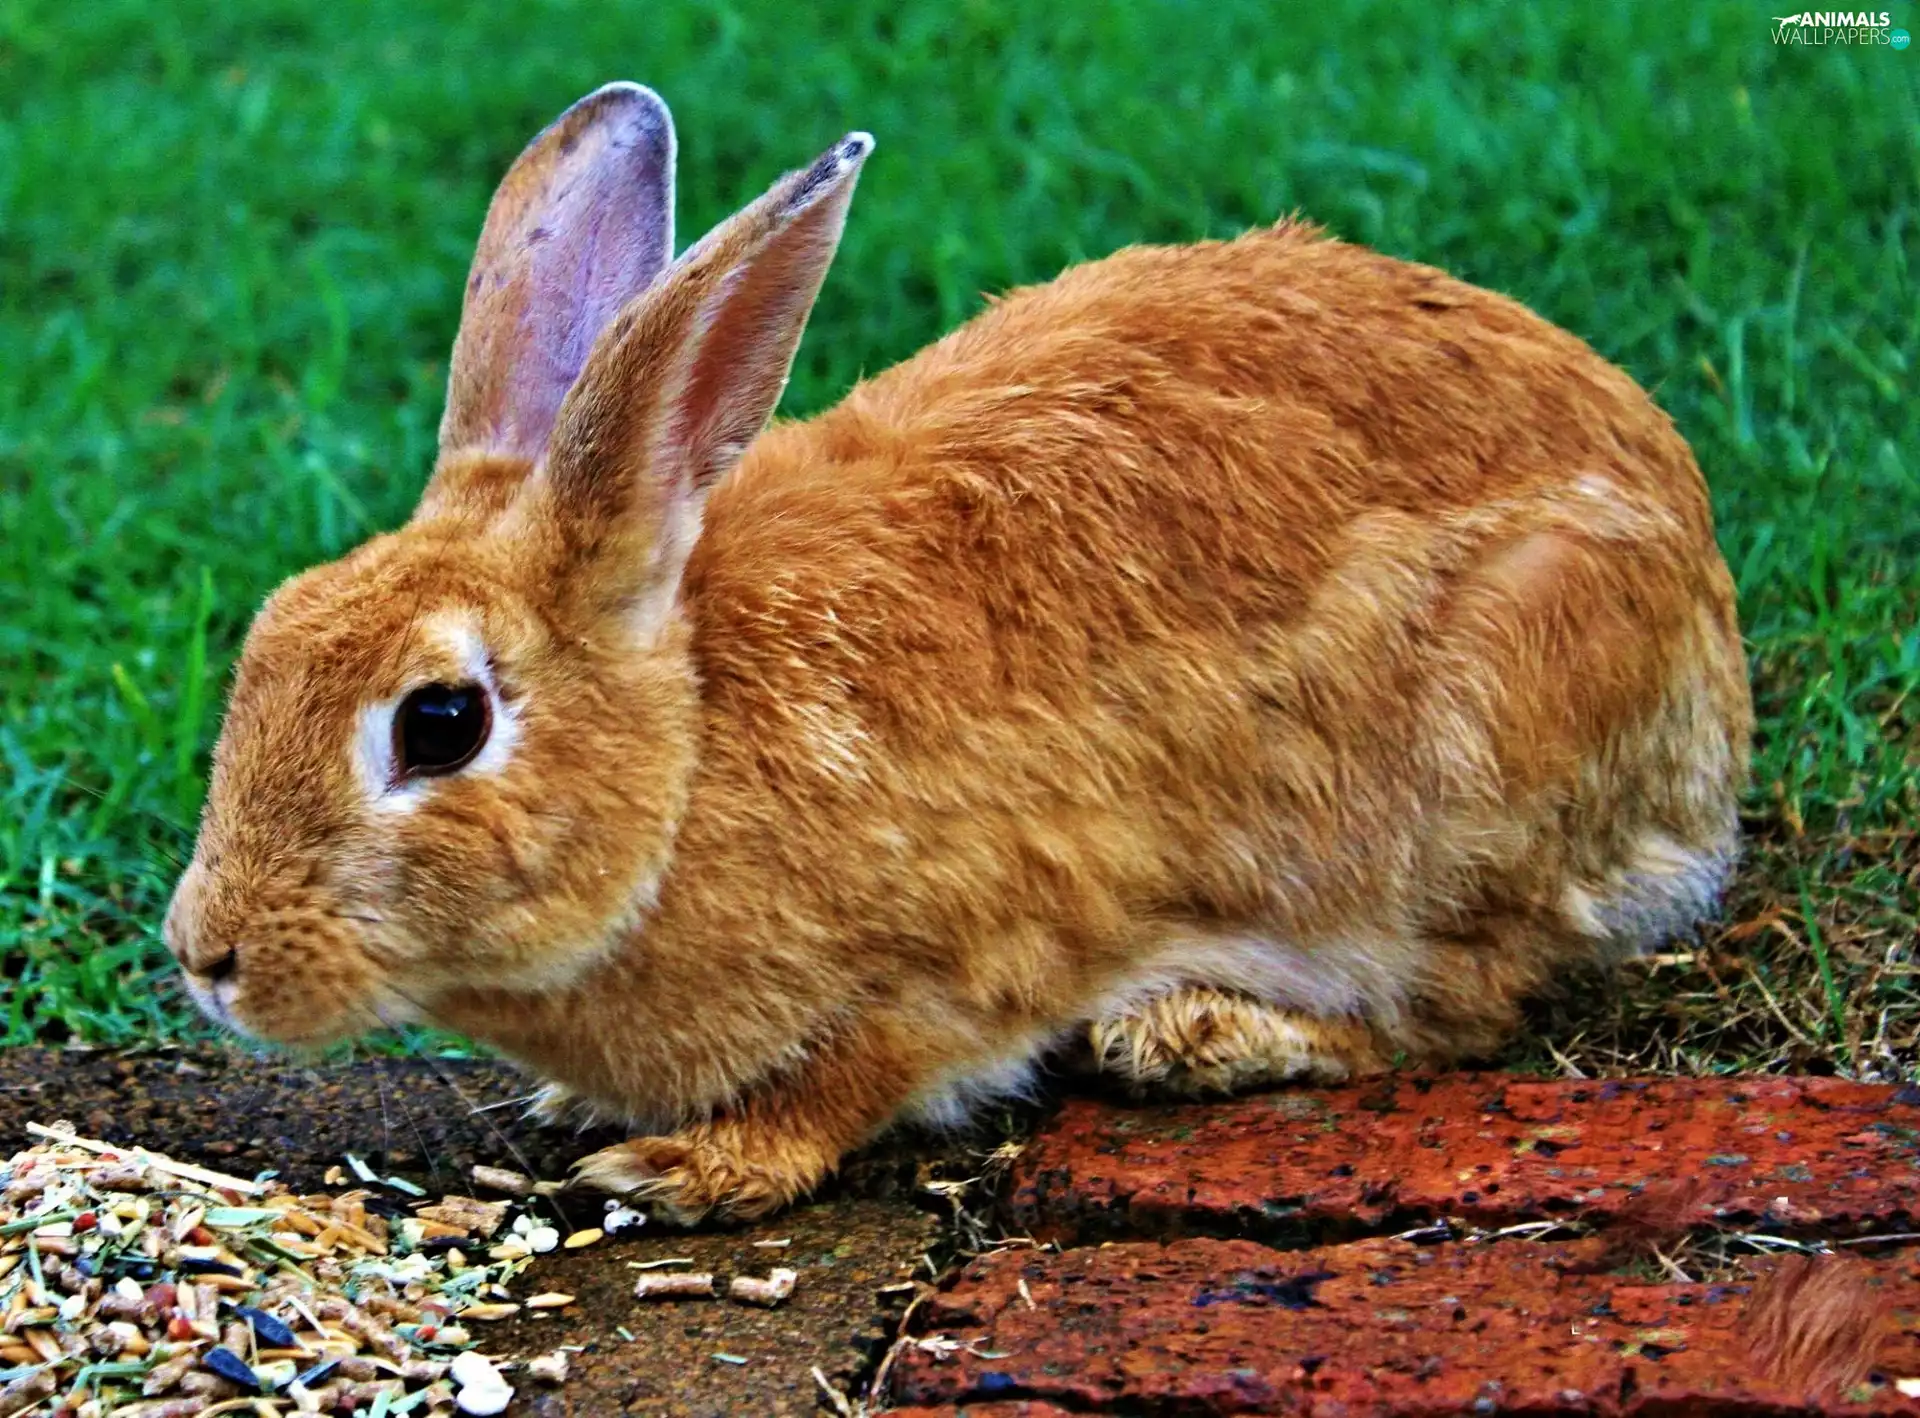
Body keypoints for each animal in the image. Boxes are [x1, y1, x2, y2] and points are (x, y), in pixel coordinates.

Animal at [164, 82, 1753, 1222]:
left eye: (439, 722)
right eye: (269, 635)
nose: (207, 956)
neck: (686, 759)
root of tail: (1709, 659)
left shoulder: (971, 952)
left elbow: (857, 1075)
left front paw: (689, 1167)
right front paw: (583, 1112)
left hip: (1471, 765)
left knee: (1470, 1002)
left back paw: (1205, 1034)